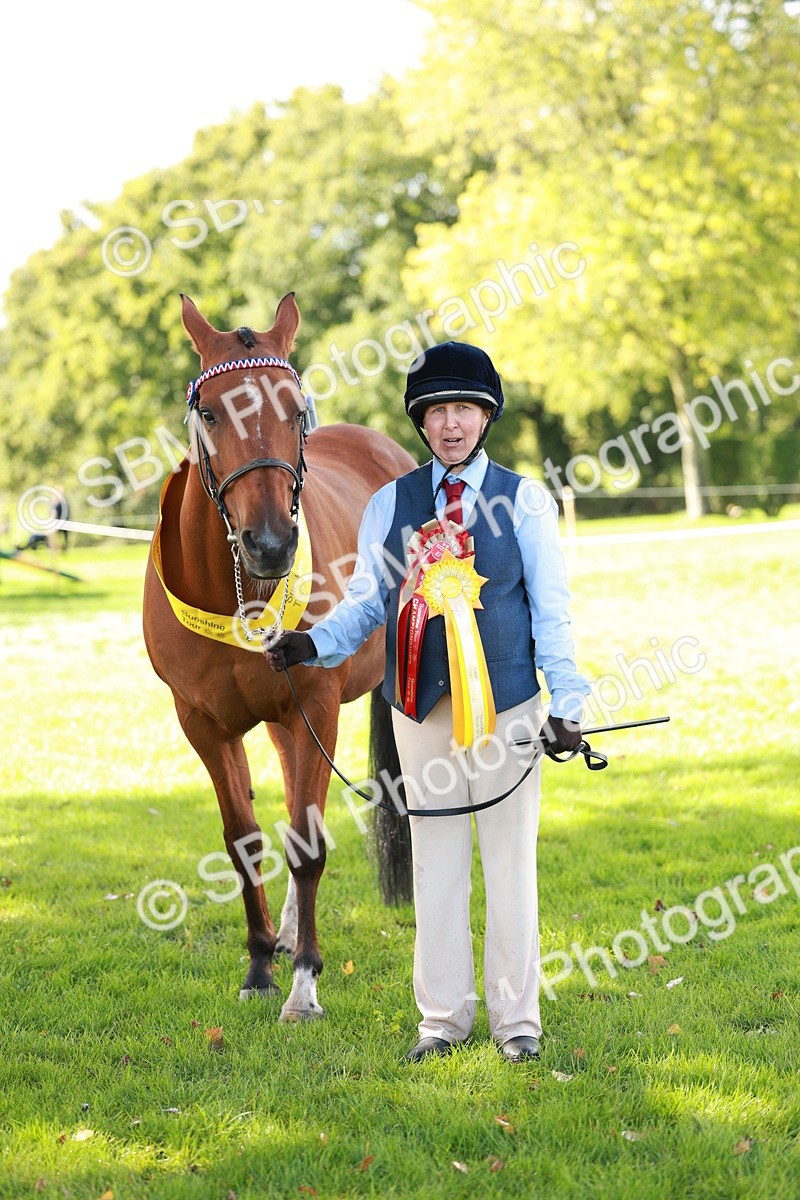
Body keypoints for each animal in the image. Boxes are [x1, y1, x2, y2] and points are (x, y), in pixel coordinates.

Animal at [143, 293, 415, 1021]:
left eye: (296, 409)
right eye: (212, 413)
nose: (270, 543)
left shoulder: (316, 707)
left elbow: (308, 845)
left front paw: (304, 984)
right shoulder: (205, 725)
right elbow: (247, 844)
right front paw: (262, 964)